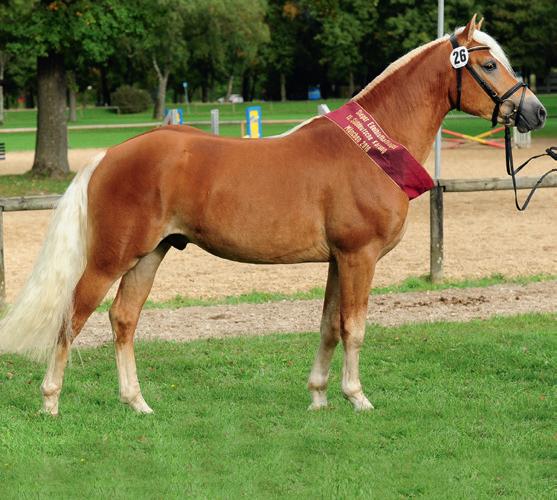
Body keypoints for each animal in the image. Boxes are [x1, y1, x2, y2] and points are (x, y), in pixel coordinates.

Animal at [0, 16, 546, 415]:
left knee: (123, 319)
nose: (536, 113)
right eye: (489, 65)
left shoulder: (338, 261)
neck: (371, 149)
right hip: (111, 257)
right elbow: (354, 327)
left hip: (150, 255)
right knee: (73, 316)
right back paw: (50, 403)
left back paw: (138, 404)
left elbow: (329, 326)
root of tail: (110, 155)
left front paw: (319, 397)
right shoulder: (359, 257)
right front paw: (357, 397)